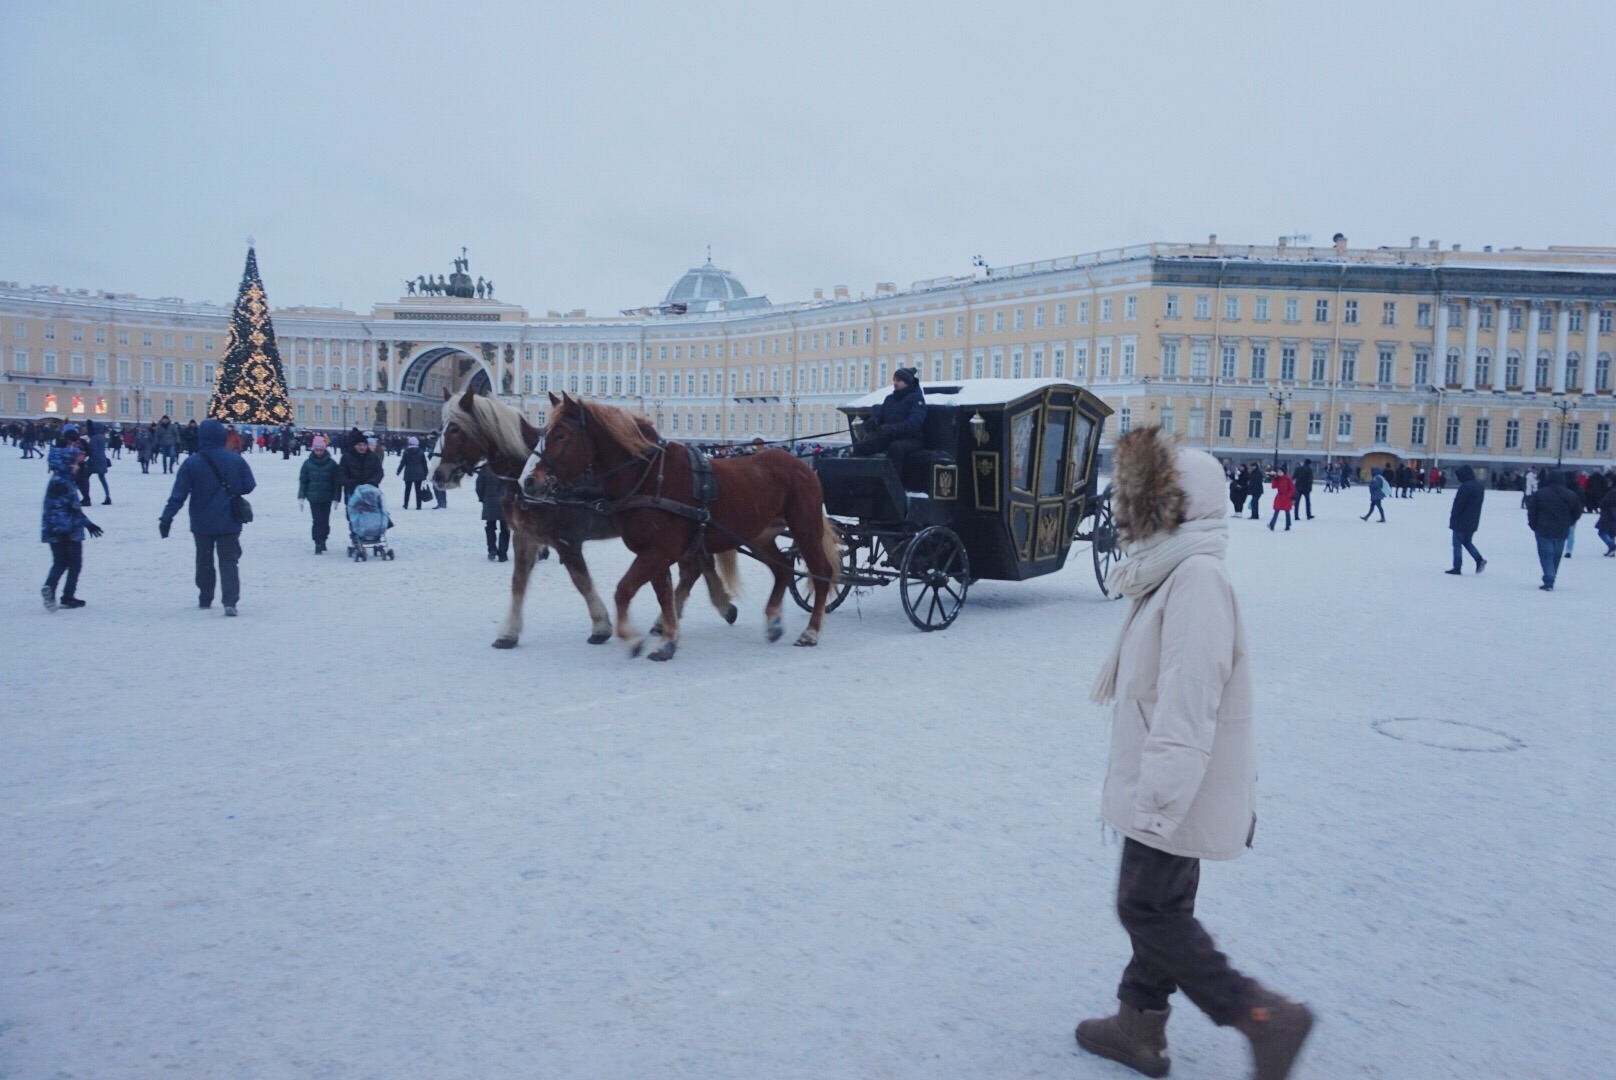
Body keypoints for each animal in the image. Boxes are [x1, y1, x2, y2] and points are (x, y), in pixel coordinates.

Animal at [426, 389, 736, 649]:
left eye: (454, 429)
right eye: (439, 428)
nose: (437, 475)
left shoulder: (566, 540)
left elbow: (581, 580)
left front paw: (601, 626)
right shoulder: (525, 536)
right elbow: (518, 582)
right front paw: (509, 632)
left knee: (693, 569)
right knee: (696, 567)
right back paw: (712, 607)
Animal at [523, 394, 840, 659]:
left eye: (561, 435)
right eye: (543, 433)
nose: (529, 481)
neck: (650, 476)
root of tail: (799, 464)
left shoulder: (659, 551)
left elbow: (625, 590)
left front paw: (635, 638)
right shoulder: (653, 552)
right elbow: (663, 595)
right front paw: (667, 639)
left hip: (805, 529)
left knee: (821, 573)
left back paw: (811, 632)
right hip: (758, 536)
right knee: (782, 569)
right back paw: (773, 621)